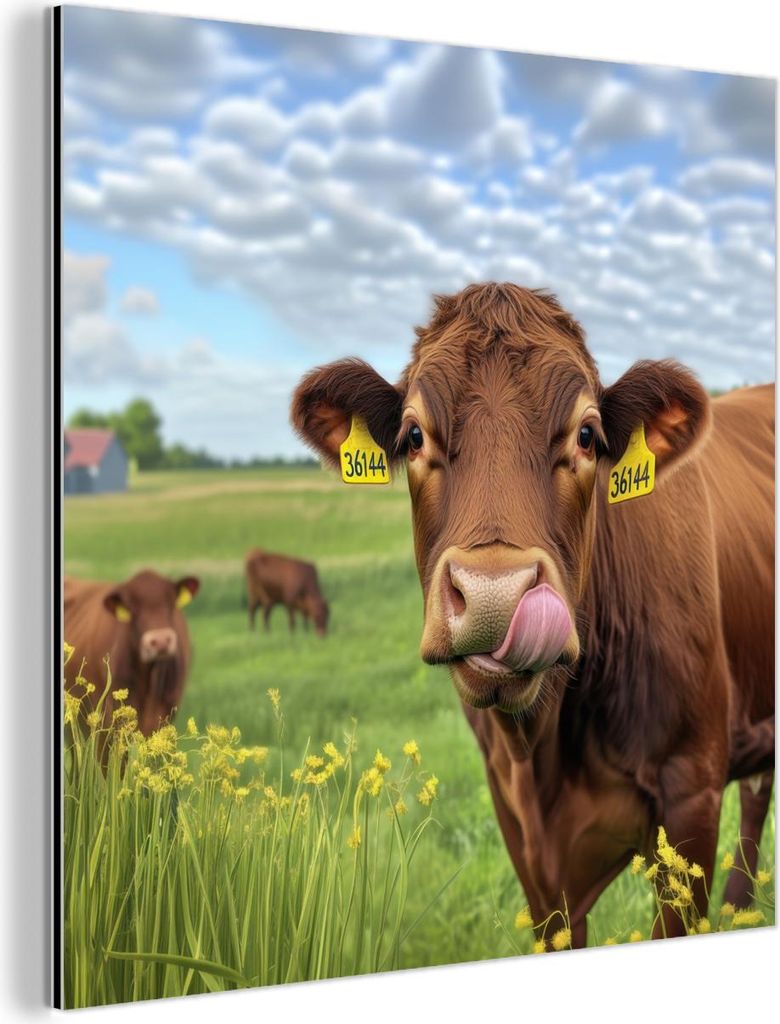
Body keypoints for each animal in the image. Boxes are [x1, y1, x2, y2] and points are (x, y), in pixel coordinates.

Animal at [291, 282, 774, 946]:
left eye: (588, 436)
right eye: (413, 436)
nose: (495, 595)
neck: (543, 751)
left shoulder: (691, 788)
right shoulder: (519, 826)